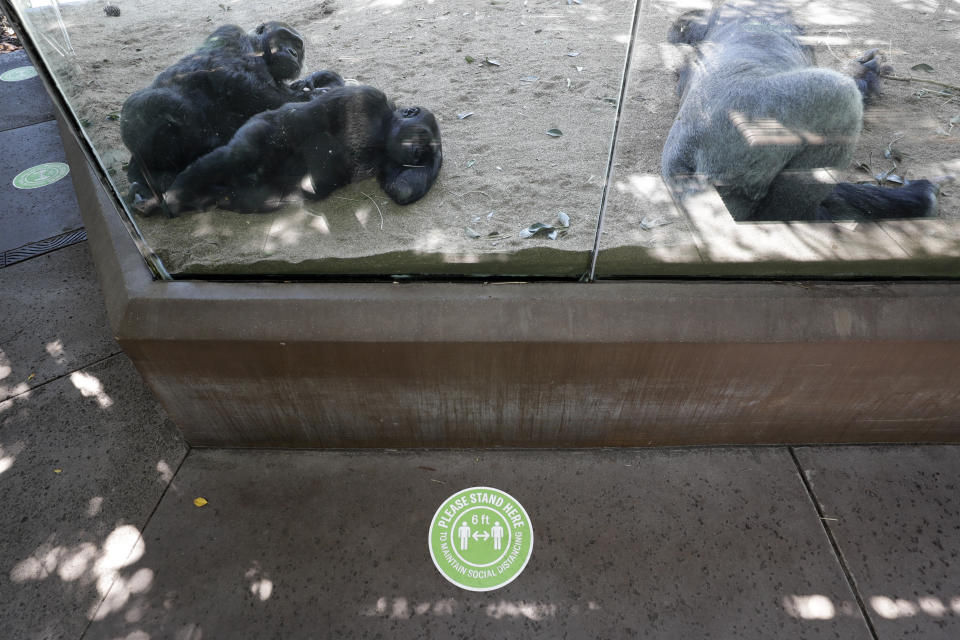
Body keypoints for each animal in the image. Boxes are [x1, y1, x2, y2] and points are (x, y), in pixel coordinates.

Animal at [120, 22, 344, 199]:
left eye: (298, 46)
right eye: (285, 38)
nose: (294, 53)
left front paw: (316, 81)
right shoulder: (230, 34)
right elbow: (231, 76)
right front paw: (310, 96)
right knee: (161, 102)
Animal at [138, 85, 442, 216]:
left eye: (422, 154)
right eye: (420, 142)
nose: (417, 154)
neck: (386, 126)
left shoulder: (393, 162)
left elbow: (402, 188)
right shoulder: (365, 98)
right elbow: (311, 122)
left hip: (251, 194)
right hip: (252, 136)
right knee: (231, 159)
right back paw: (171, 197)